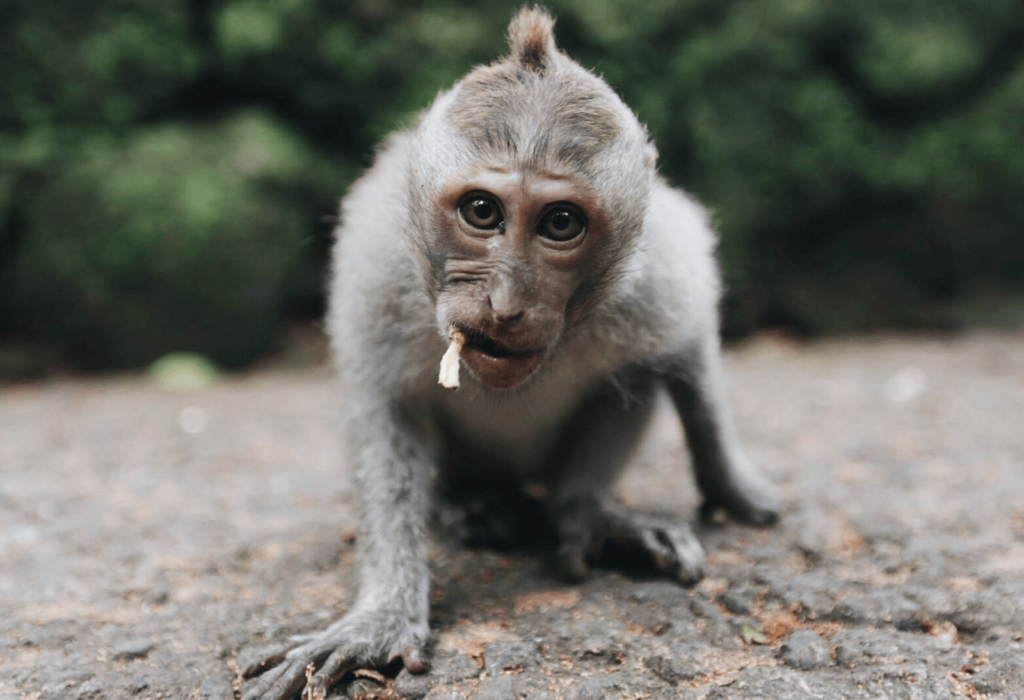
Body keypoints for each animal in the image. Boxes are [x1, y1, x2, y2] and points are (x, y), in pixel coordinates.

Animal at [243, 6, 778, 700]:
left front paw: (730, 486)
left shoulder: (657, 268)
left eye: (560, 223)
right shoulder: (378, 264)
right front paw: (382, 614)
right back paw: (470, 507)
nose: (504, 304)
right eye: (481, 211)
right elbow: (384, 409)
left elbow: (688, 350)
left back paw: (583, 508)